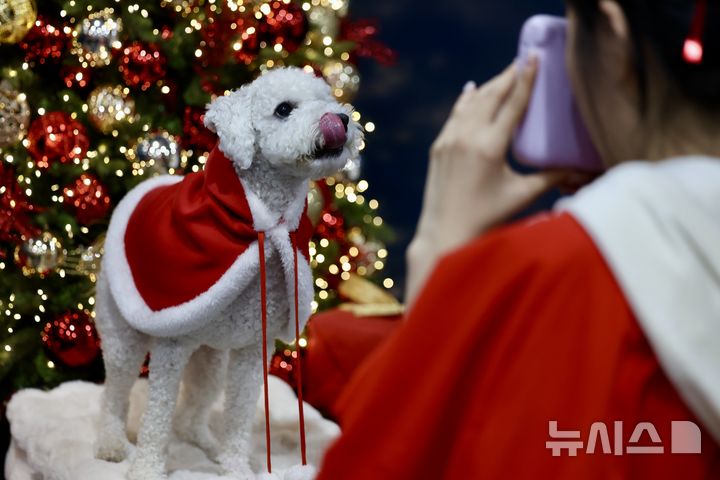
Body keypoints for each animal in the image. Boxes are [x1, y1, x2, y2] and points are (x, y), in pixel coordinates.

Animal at [95, 68, 362, 480]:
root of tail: (142, 187)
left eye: (327, 99)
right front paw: (147, 468)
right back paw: (111, 444)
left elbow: (238, 418)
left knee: (193, 409)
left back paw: (205, 442)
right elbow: (157, 417)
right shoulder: (171, 347)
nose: (340, 120)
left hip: (212, 354)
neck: (266, 221)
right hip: (124, 333)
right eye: (283, 109)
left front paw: (236, 466)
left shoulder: (252, 350)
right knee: (115, 393)